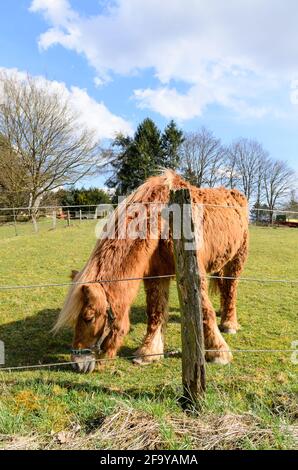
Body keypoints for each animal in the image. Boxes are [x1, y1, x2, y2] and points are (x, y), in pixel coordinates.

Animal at [54, 171, 249, 372]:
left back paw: (229, 323)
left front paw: (218, 352)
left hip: (237, 259)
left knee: (231, 289)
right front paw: (149, 352)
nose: (77, 364)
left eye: (88, 317)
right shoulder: (156, 275)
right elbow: (155, 311)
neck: (164, 220)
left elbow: (205, 310)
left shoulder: (195, 273)